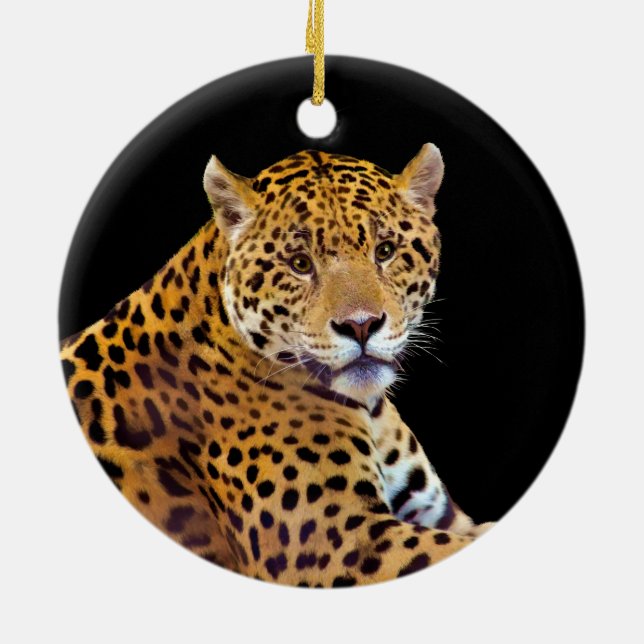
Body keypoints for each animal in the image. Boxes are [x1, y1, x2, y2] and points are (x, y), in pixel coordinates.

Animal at [60, 144, 493, 587]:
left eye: (385, 252)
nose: (361, 325)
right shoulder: (335, 540)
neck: (370, 409)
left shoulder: (437, 515)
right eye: (300, 264)